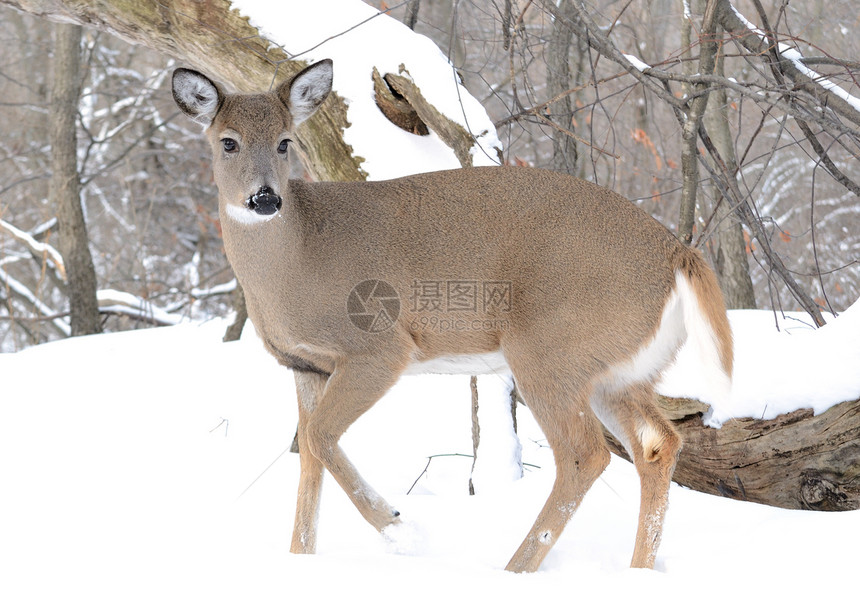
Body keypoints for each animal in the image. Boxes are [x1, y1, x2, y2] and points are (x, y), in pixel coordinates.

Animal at [173, 60, 732, 576]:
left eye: (285, 142)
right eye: (228, 142)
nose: (265, 197)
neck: (295, 258)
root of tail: (679, 254)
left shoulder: (379, 347)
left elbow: (317, 438)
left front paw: (401, 530)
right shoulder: (304, 364)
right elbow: (309, 456)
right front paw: (300, 558)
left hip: (550, 349)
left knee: (585, 454)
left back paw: (515, 570)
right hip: (620, 371)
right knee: (659, 445)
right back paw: (638, 570)